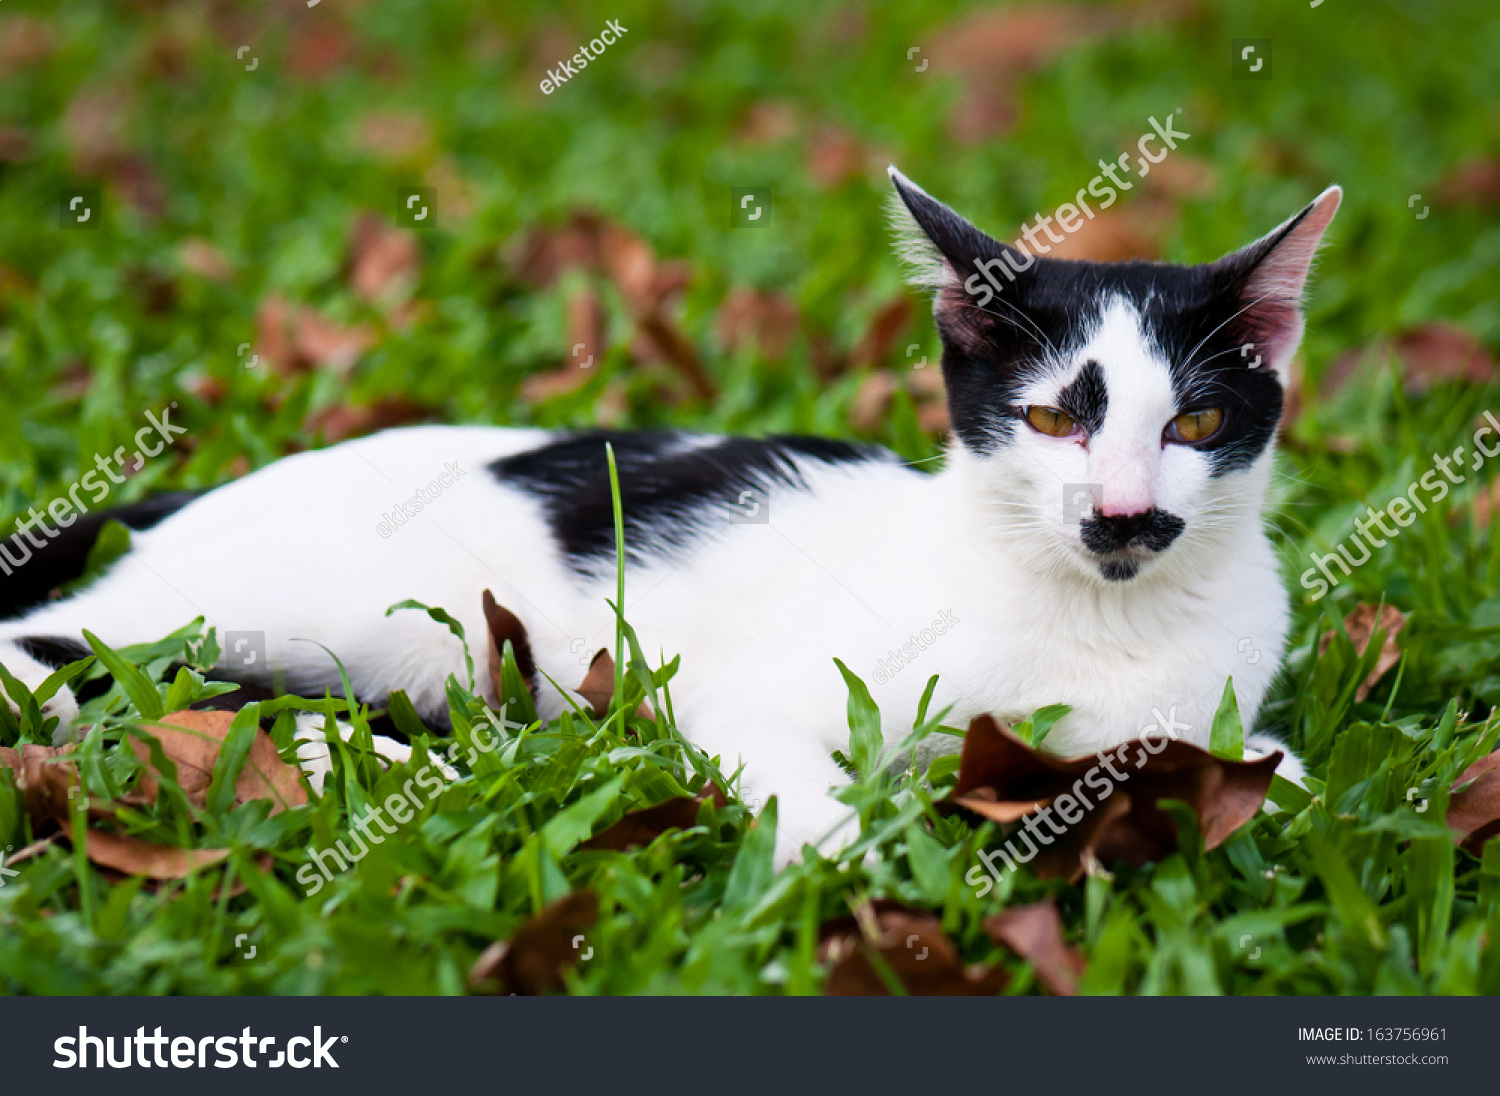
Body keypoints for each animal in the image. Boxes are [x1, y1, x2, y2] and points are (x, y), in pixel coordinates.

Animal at [0, 167, 1338, 863]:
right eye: (1054, 419)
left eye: (1197, 426)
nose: (1121, 516)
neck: (1101, 628)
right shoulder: (761, 696)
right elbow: (802, 788)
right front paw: (873, 890)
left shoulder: (1211, 724)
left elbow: (1285, 774)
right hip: (317, 606)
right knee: (63, 651)